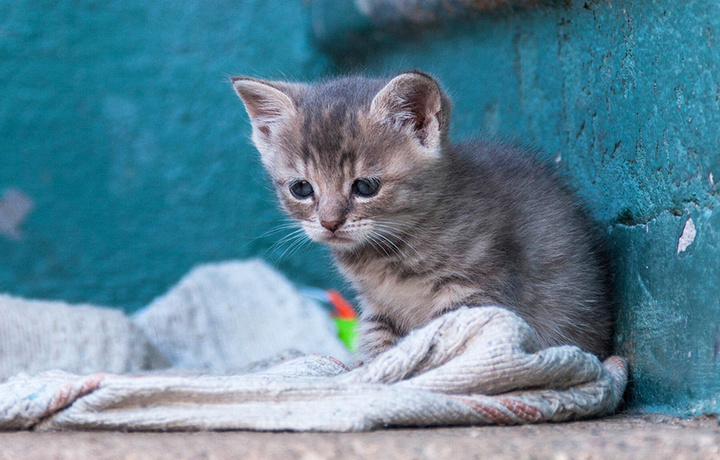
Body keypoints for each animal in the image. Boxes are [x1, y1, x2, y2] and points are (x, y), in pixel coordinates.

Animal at [232, 71, 612, 360]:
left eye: (365, 187)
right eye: (301, 189)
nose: (329, 222)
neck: (386, 254)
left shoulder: (472, 290)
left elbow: (451, 339)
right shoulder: (377, 306)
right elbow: (376, 341)